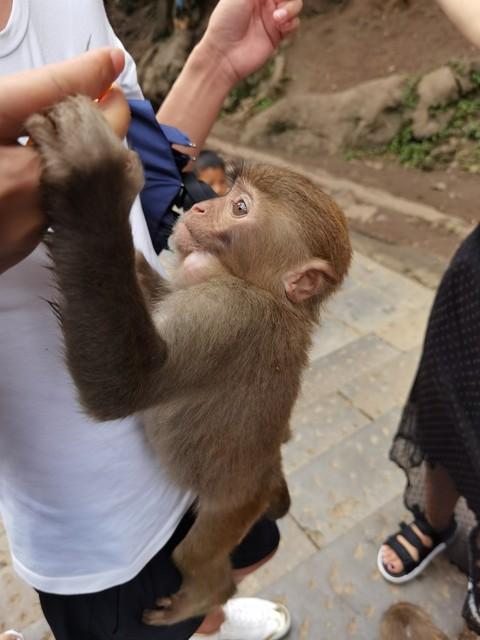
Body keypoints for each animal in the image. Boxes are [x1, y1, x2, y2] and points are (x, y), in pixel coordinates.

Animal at [25, 95, 352, 625]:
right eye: (231, 196)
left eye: (239, 208)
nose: (198, 204)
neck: (267, 292)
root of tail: (267, 476)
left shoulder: (231, 313)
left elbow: (127, 384)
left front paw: (94, 184)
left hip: (233, 508)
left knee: (194, 557)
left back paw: (203, 596)